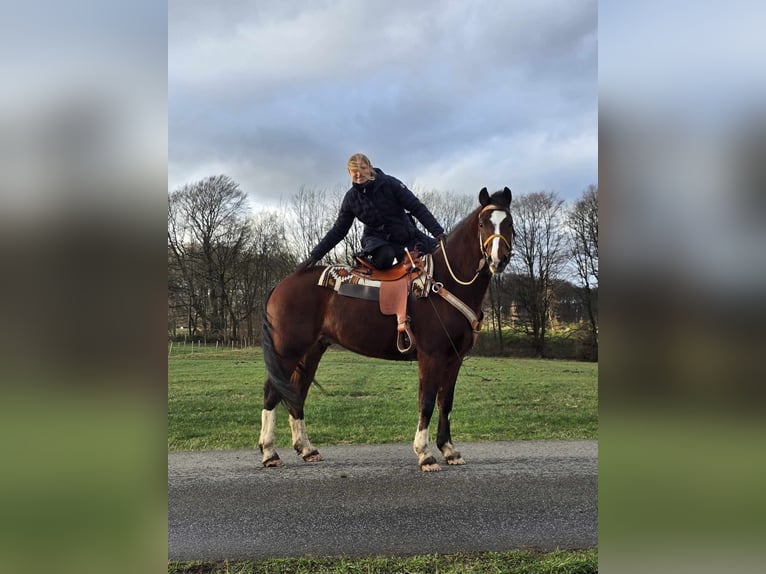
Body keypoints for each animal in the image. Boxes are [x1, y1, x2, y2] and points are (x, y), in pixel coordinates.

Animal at [260, 188, 516, 472]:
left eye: (509, 222)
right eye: (483, 224)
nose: (499, 259)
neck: (445, 282)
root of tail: (281, 285)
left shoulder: (455, 358)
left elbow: (445, 402)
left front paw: (449, 450)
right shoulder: (432, 356)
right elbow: (427, 402)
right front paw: (425, 454)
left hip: (311, 351)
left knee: (297, 393)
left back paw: (306, 449)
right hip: (287, 351)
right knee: (271, 392)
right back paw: (269, 452)